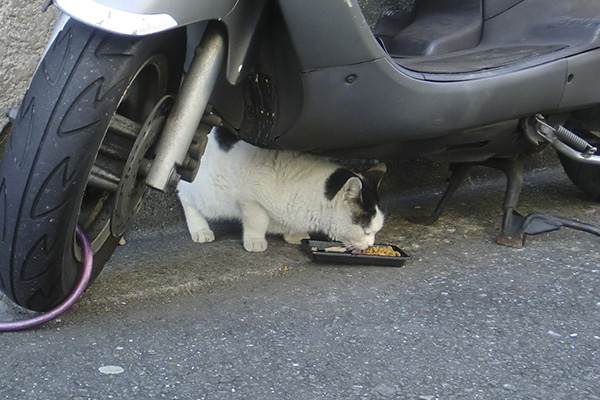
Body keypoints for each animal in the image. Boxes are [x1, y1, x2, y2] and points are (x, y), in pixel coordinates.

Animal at [176, 126, 386, 252]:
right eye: (367, 232)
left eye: (376, 231)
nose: (370, 245)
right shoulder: (251, 200)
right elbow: (257, 223)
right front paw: (255, 241)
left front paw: (294, 235)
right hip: (207, 192)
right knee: (185, 197)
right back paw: (200, 229)